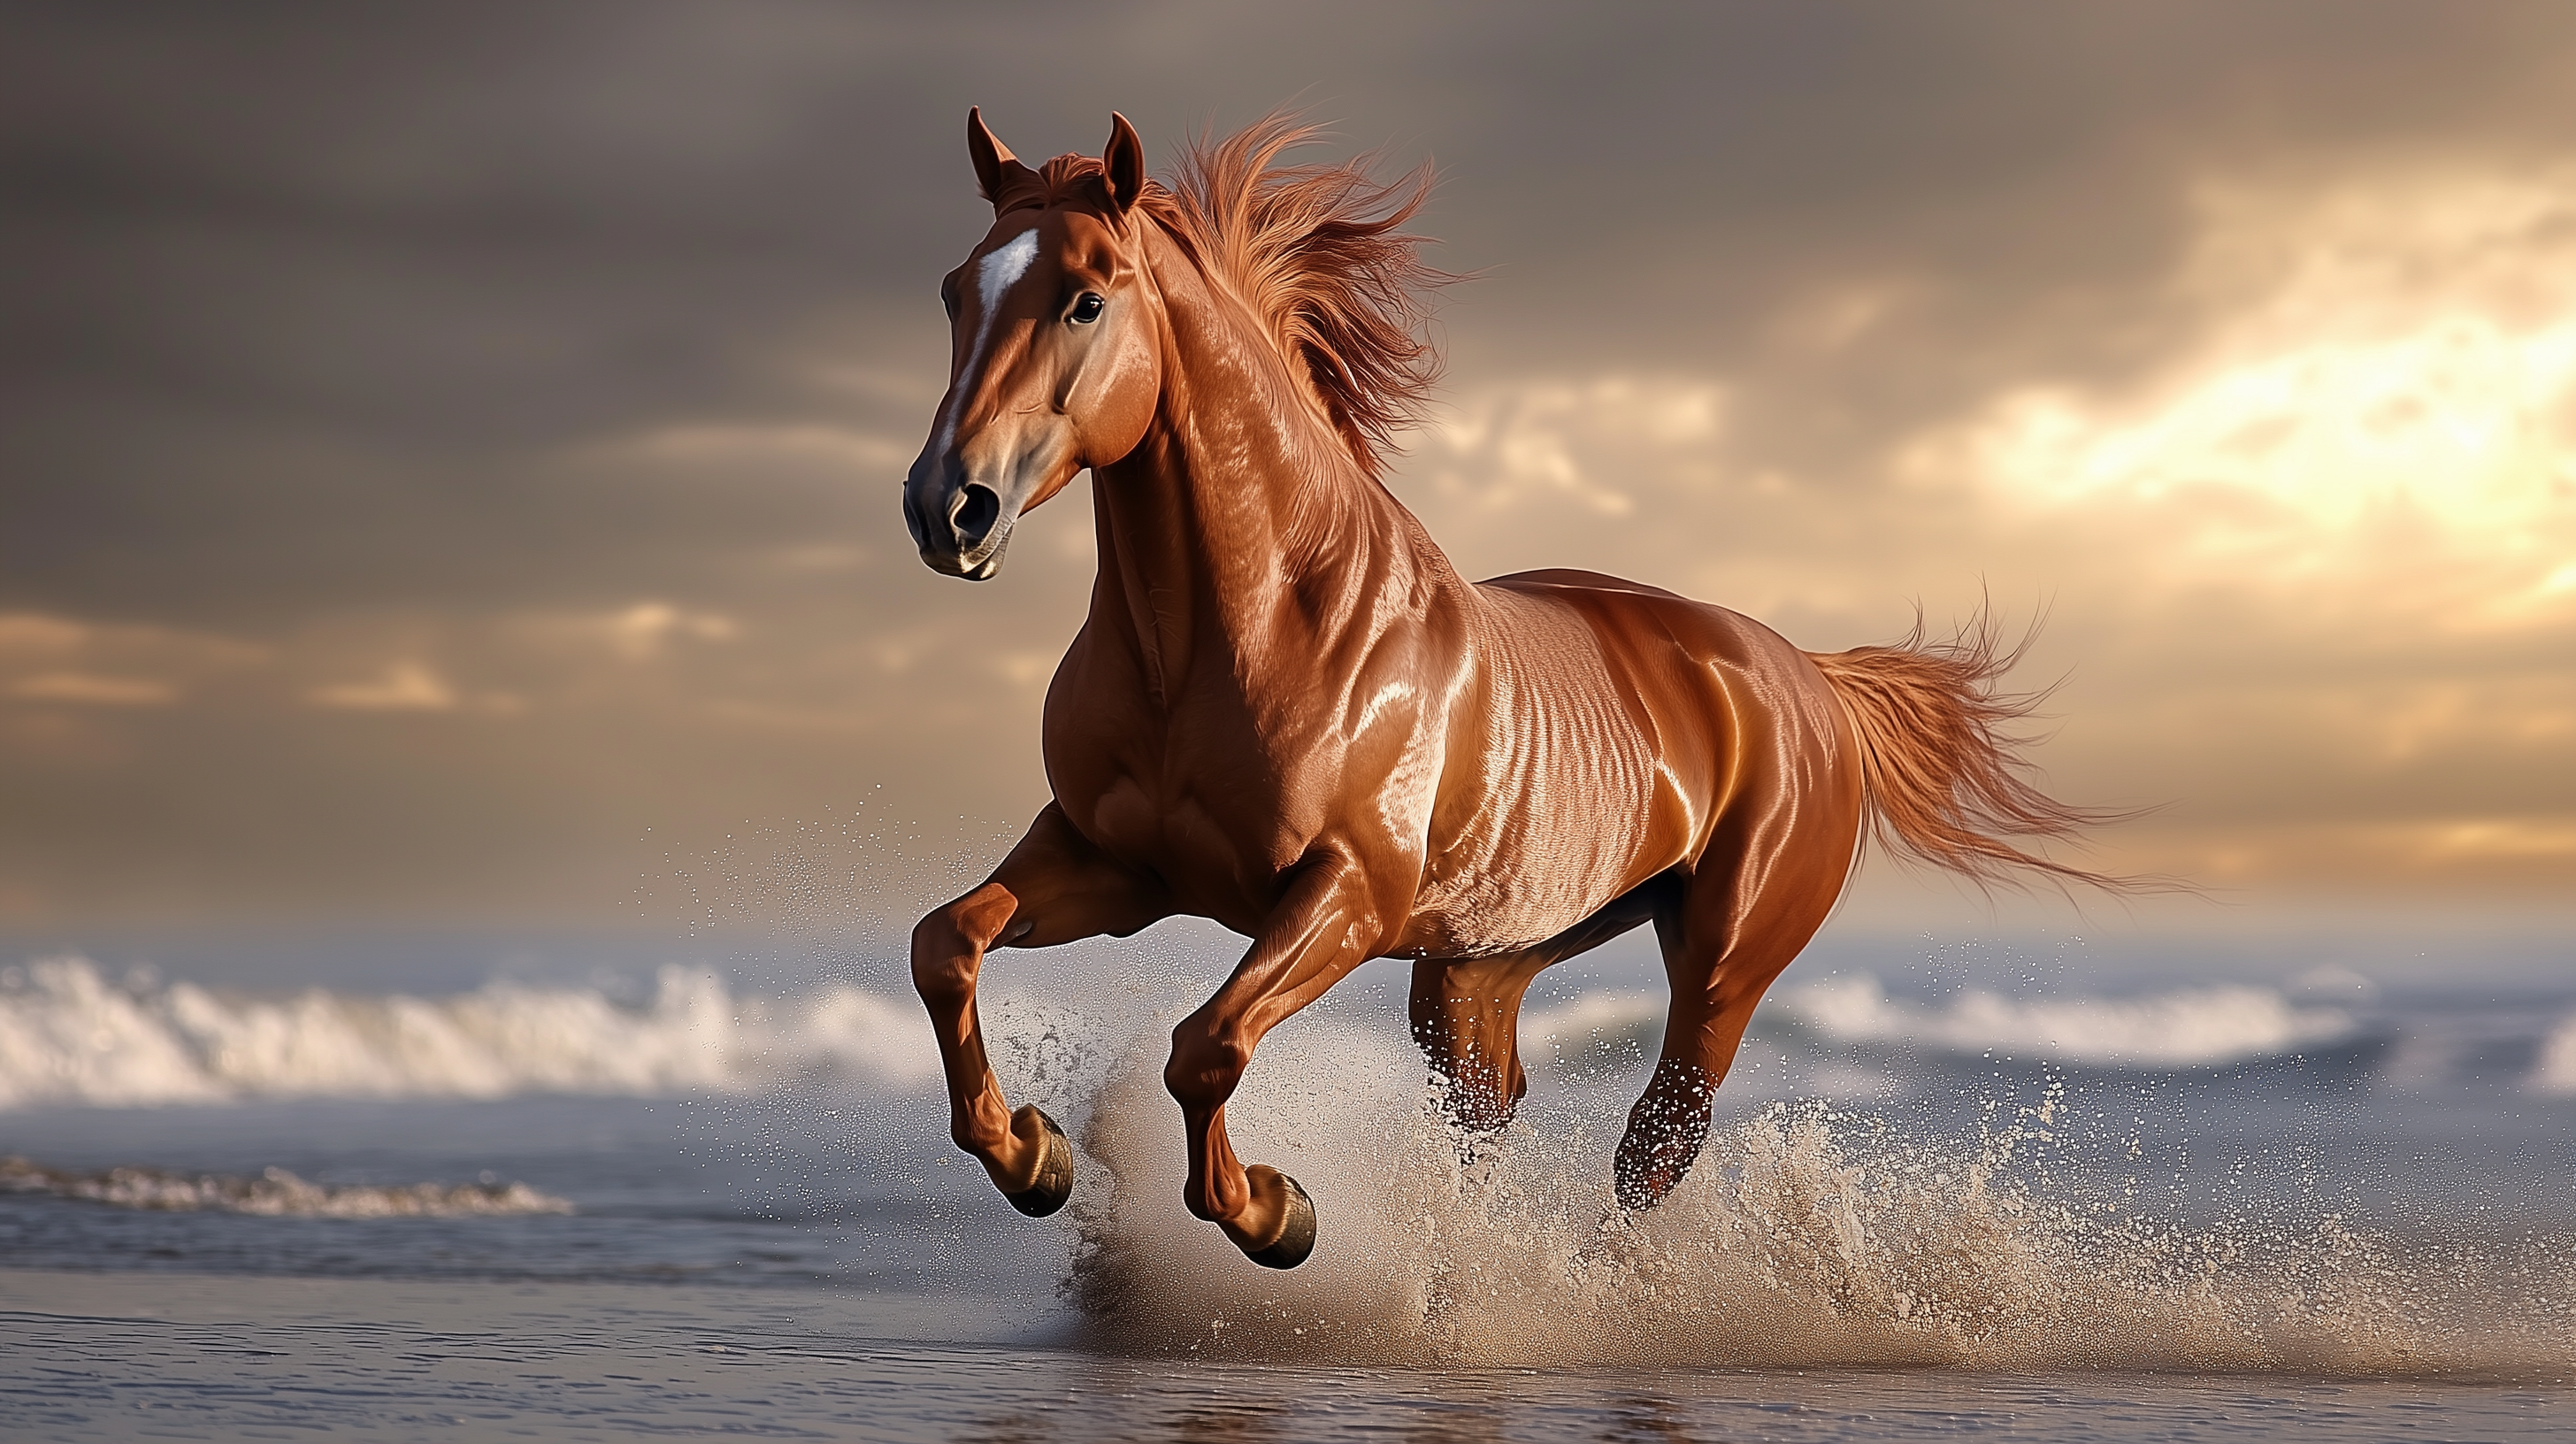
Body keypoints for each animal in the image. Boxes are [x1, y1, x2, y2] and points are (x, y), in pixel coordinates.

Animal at [900, 110, 2116, 1270]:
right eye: (956, 289)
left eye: (1085, 300)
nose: (945, 507)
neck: (1234, 636)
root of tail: (1805, 677)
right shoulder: (1115, 865)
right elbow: (945, 944)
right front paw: (1033, 1157)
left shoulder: (1345, 896)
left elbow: (1206, 1048)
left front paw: (1275, 1213)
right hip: (1482, 963)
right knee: (1489, 1115)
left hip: (1721, 961)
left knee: (1656, 1140)